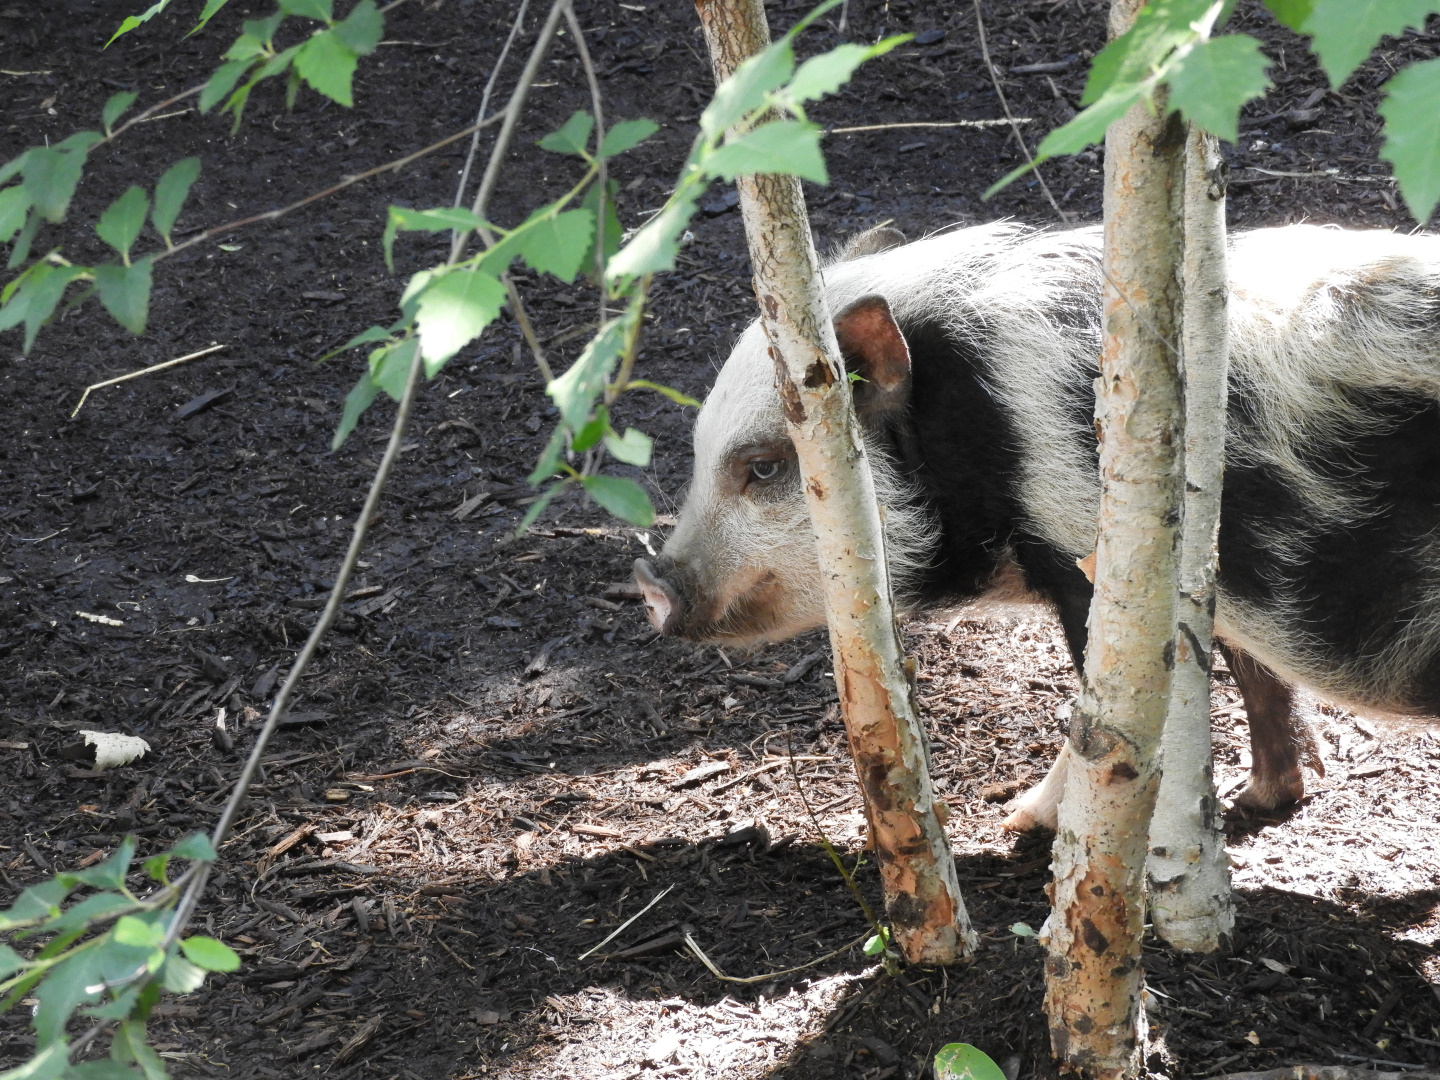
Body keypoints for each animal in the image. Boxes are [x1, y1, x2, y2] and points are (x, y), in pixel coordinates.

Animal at [634, 221, 1440, 829]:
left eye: (765, 467)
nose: (651, 580)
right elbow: (1260, 679)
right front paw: (1262, 799)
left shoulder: (1097, 563)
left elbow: (1104, 715)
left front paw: (1020, 821)